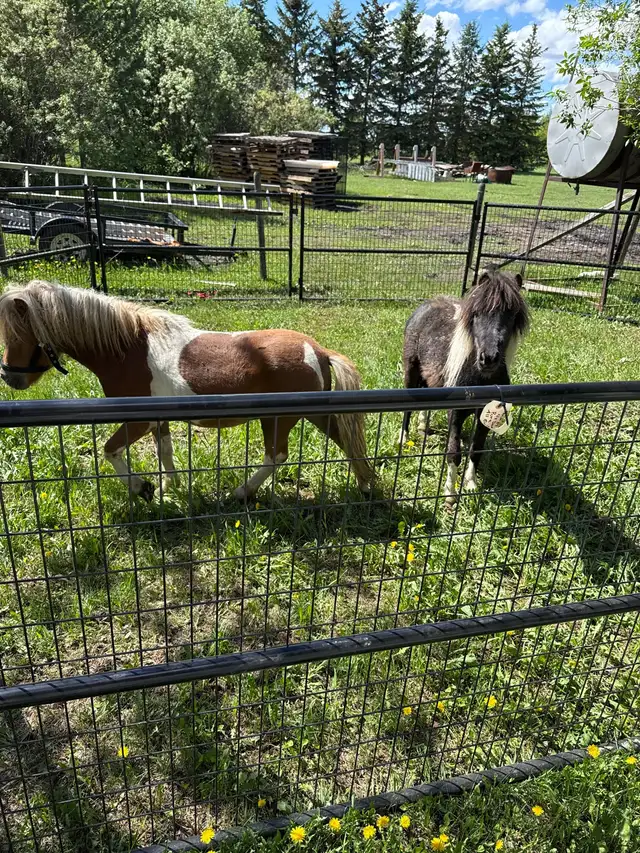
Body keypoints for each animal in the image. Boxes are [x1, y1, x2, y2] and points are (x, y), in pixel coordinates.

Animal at [0, 280, 373, 502]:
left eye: (18, 334)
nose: (10, 378)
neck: (128, 349)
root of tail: (318, 350)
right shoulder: (157, 420)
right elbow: (164, 451)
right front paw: (170, 488)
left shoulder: (137, 422)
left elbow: (108, 450)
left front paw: (142, 488)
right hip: (314, 413)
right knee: (345, 439)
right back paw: (366, 485)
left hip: (279, 418)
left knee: (276, 456)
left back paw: (240, 492)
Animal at [399, 268, 529, 505]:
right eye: (477, 313)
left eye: (513, 315)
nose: (488, 358)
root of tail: (427, 304)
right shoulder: (456, 414)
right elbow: (454, 452)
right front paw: (450, 494)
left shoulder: (485, 416)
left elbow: (476, 450)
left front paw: (471, 485)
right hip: (411, 371)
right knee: (408, 407)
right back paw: (403, 439)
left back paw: (423, 427)